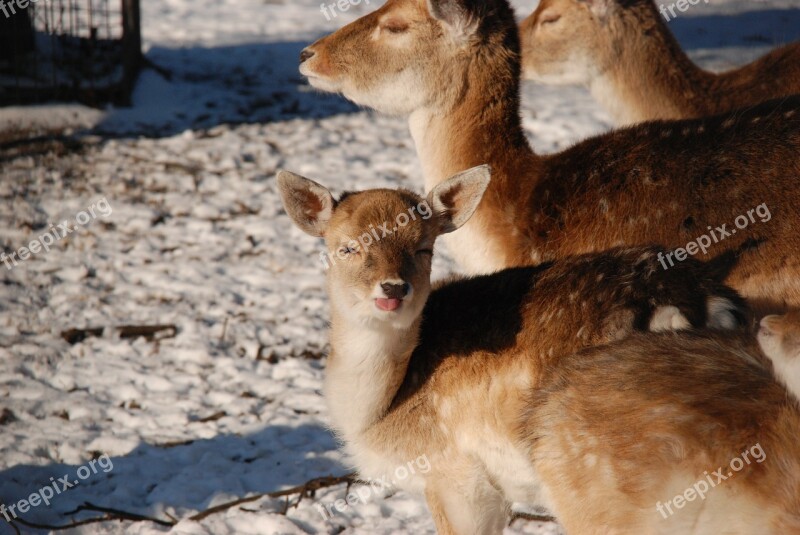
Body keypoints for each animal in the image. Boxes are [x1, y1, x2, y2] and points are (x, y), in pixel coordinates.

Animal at [278, 169, 796, 535]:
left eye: (424, 248)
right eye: (345, 247)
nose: (393, 288)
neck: (379, 410)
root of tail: (703, 301)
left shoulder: (456, 477)